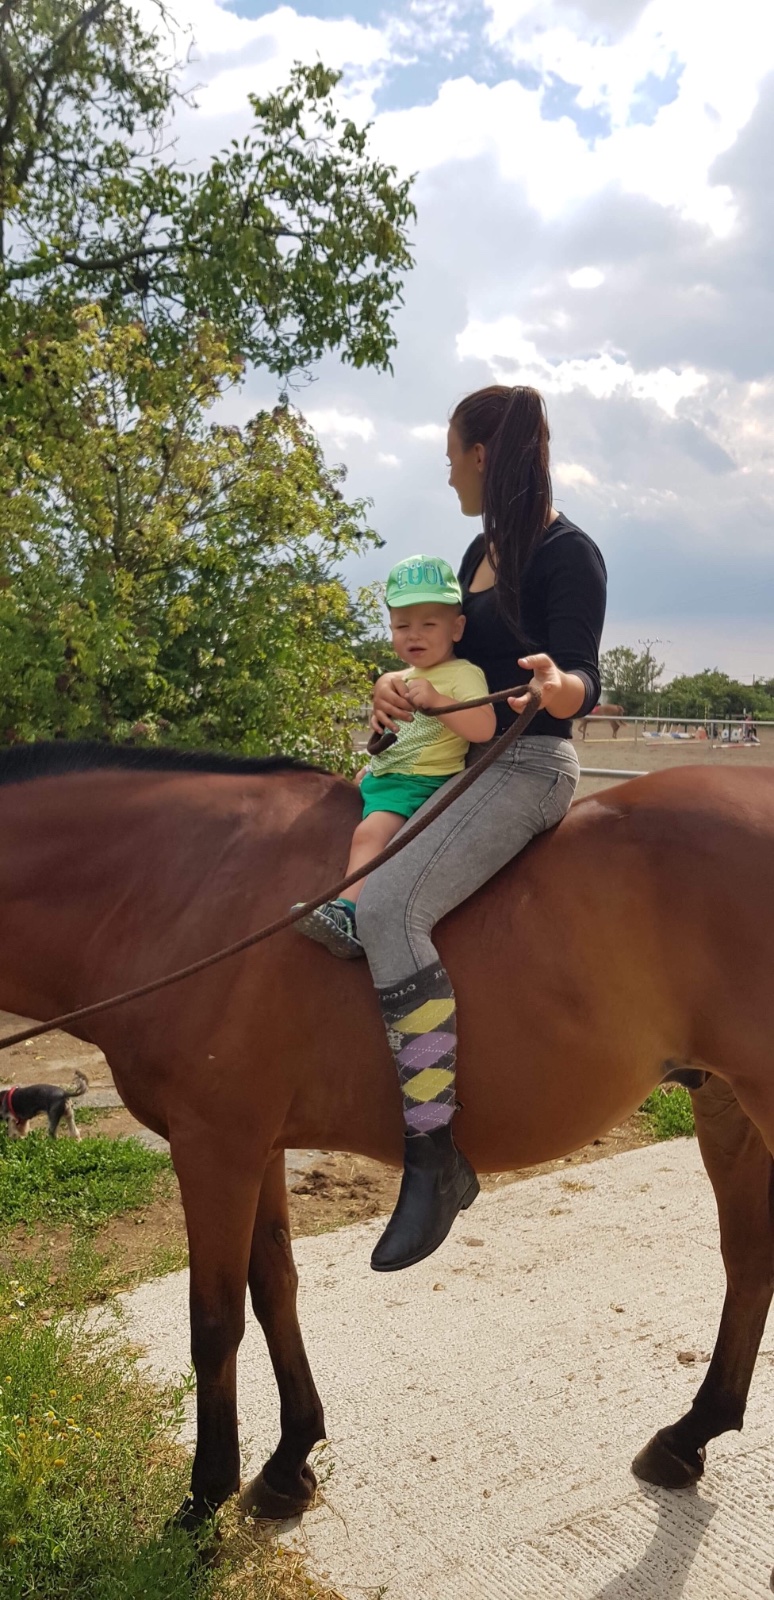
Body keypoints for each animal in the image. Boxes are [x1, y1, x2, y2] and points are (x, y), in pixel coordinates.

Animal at [2, 741, 774, 1537]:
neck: (180, 892)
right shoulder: (258, 1147)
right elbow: (275, 1288)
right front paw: (288, 1465)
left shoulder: (213, 1146)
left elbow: (214, 1322)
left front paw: (203, 1502)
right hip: (725, 1103)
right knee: (750, 1262)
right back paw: (688, 1436)